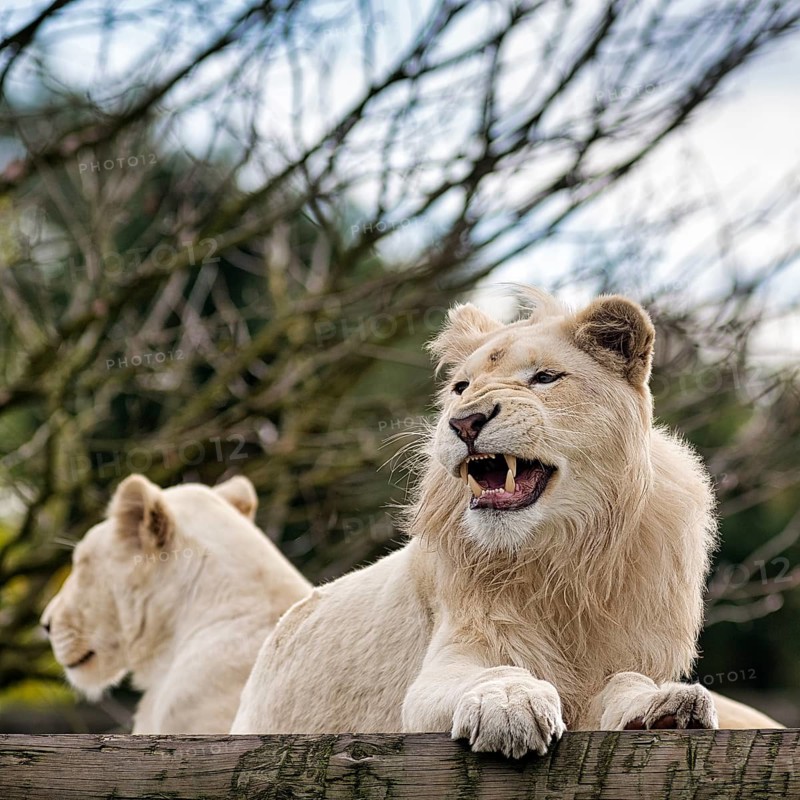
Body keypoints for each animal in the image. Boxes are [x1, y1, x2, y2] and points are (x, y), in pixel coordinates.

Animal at [233, 290, 781, 753]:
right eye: (460, 387)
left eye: (544, 378)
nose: (464, 421)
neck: (564, 555)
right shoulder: (447, 661)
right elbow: (491, 672)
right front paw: (510, 705)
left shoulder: (624, 655)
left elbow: (625, 682)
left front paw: (662, 706)